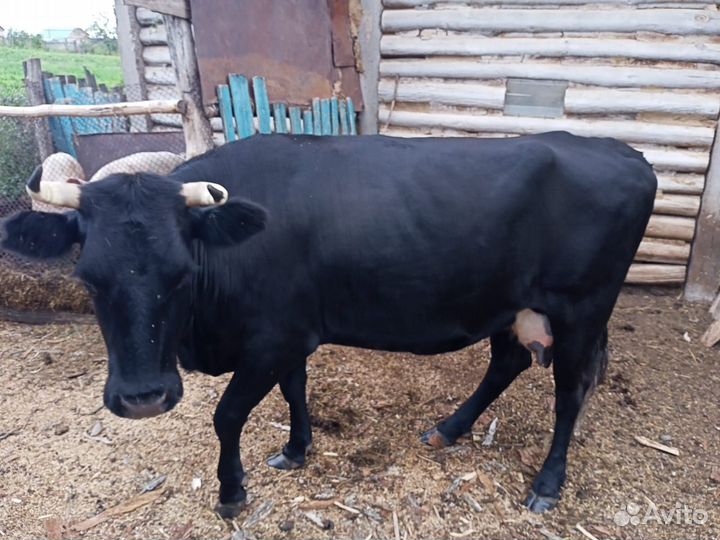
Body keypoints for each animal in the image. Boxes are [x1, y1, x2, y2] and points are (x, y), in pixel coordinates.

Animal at [1, 132, 657, 517]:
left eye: (181, 273)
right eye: (88, 278)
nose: (143, 399)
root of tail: (627, 152)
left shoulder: (269, 340)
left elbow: (228, 415)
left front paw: (232, 494)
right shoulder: (292, 333)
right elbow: (295, 390)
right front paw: (296, 449)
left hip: (582, 309)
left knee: (569, 393)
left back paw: (546, 485)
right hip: (509, 302)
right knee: (508, 361)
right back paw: (448, 429)